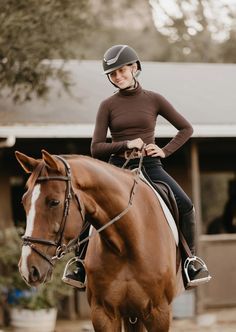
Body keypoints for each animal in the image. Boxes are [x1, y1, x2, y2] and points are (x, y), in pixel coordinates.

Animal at [15, 151, 183, 332]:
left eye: (54, 202)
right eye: (24, 201)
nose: (27, 269)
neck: (126, 245)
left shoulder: (159, 314)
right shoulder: (103, 314)